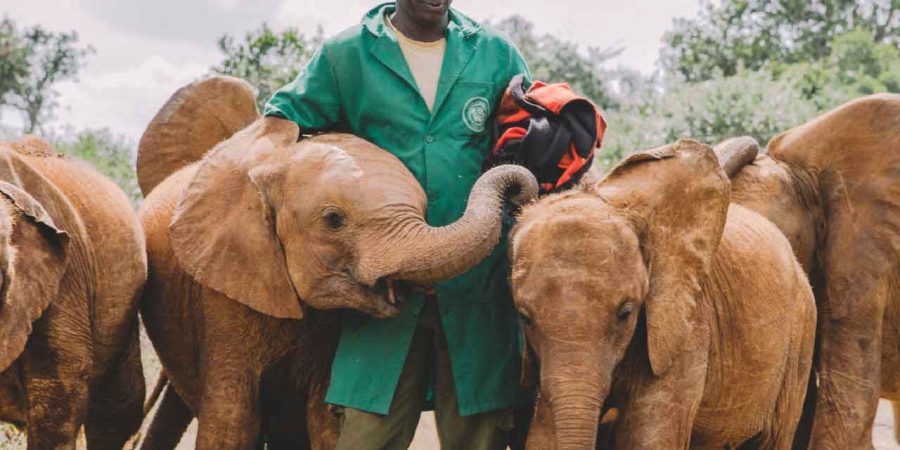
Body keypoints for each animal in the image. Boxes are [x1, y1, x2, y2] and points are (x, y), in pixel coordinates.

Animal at [508, 139, 817, 449]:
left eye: (626, 313)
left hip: (800, 336)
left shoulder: (684, 327)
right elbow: (543, 433)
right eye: (525, 319)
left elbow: (649, 437)